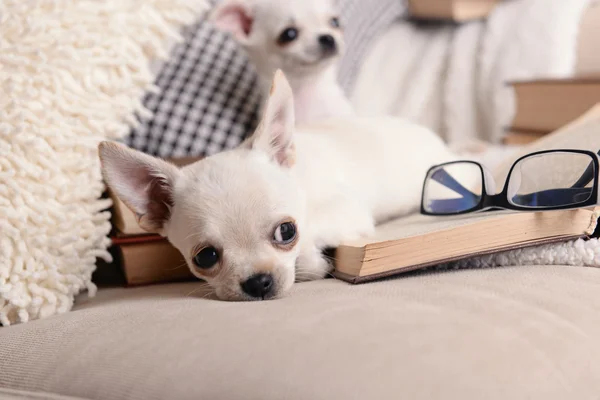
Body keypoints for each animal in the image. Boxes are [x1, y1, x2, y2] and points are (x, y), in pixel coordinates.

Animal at [98, 72, 458, 302]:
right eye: (205, 257)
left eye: (287, 232)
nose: (258, 283)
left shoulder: (346, 211)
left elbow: (312, 239)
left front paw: (312, 262)